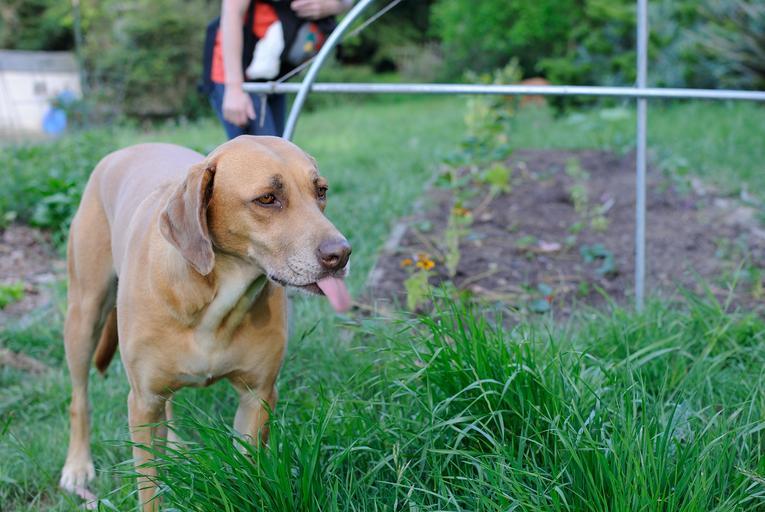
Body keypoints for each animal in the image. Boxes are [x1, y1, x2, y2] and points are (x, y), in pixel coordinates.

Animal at [58, 136, 351, 510]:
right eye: (267, 199)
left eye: (321, 191)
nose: (340, 255)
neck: (216, 304)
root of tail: (127, 149)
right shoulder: (142, 402)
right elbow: (148, 488)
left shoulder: (257, 397)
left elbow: (248, 473)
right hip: (84, 316)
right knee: (79, 399)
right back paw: (78, 465)